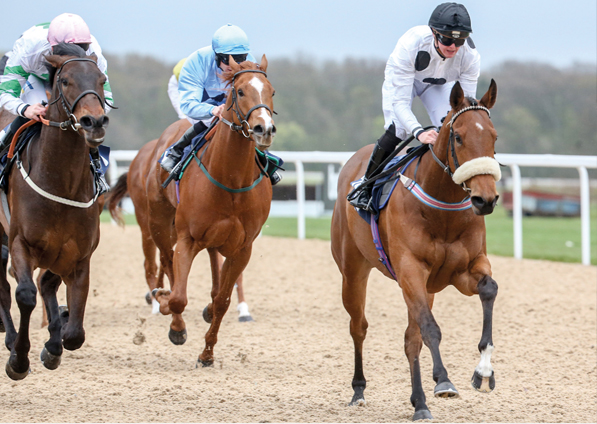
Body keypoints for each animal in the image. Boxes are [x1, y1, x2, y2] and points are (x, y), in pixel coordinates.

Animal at [0, 44, 109, 380]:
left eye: (101, 79)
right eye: (65, 80)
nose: (94, 122)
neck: (62, 183)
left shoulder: (79, 256)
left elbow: (75, 333)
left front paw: (53, 344)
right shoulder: (20, 243)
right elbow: (24, 294)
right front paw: (18, 360)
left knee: (46, 284)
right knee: (5, 288)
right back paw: (10, 338)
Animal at [332, 81, 500, 422]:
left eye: (494, 137)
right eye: (458, 136)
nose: (485, 199)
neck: (442, 209)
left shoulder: (463, 271)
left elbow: (489, 289)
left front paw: (484, 371)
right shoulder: (410, 270)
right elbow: (430, 328)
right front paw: (444, 380)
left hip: (425, 287)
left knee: (411, 340)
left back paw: (419, 402)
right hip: (353, 272)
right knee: (359, 327)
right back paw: (359, 391)